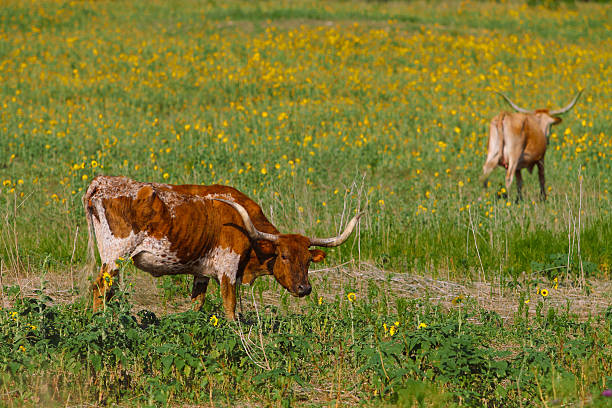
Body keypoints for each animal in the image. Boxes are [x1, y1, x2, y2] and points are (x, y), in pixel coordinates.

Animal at [85, 175, 364, 318]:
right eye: (284, 256)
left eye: (307, 260)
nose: (304, 288)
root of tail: (102, 181)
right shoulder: (228, 271)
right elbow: (230, 308)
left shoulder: (201, 273)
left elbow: (197, 304)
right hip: (115, 256)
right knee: (100, 289)